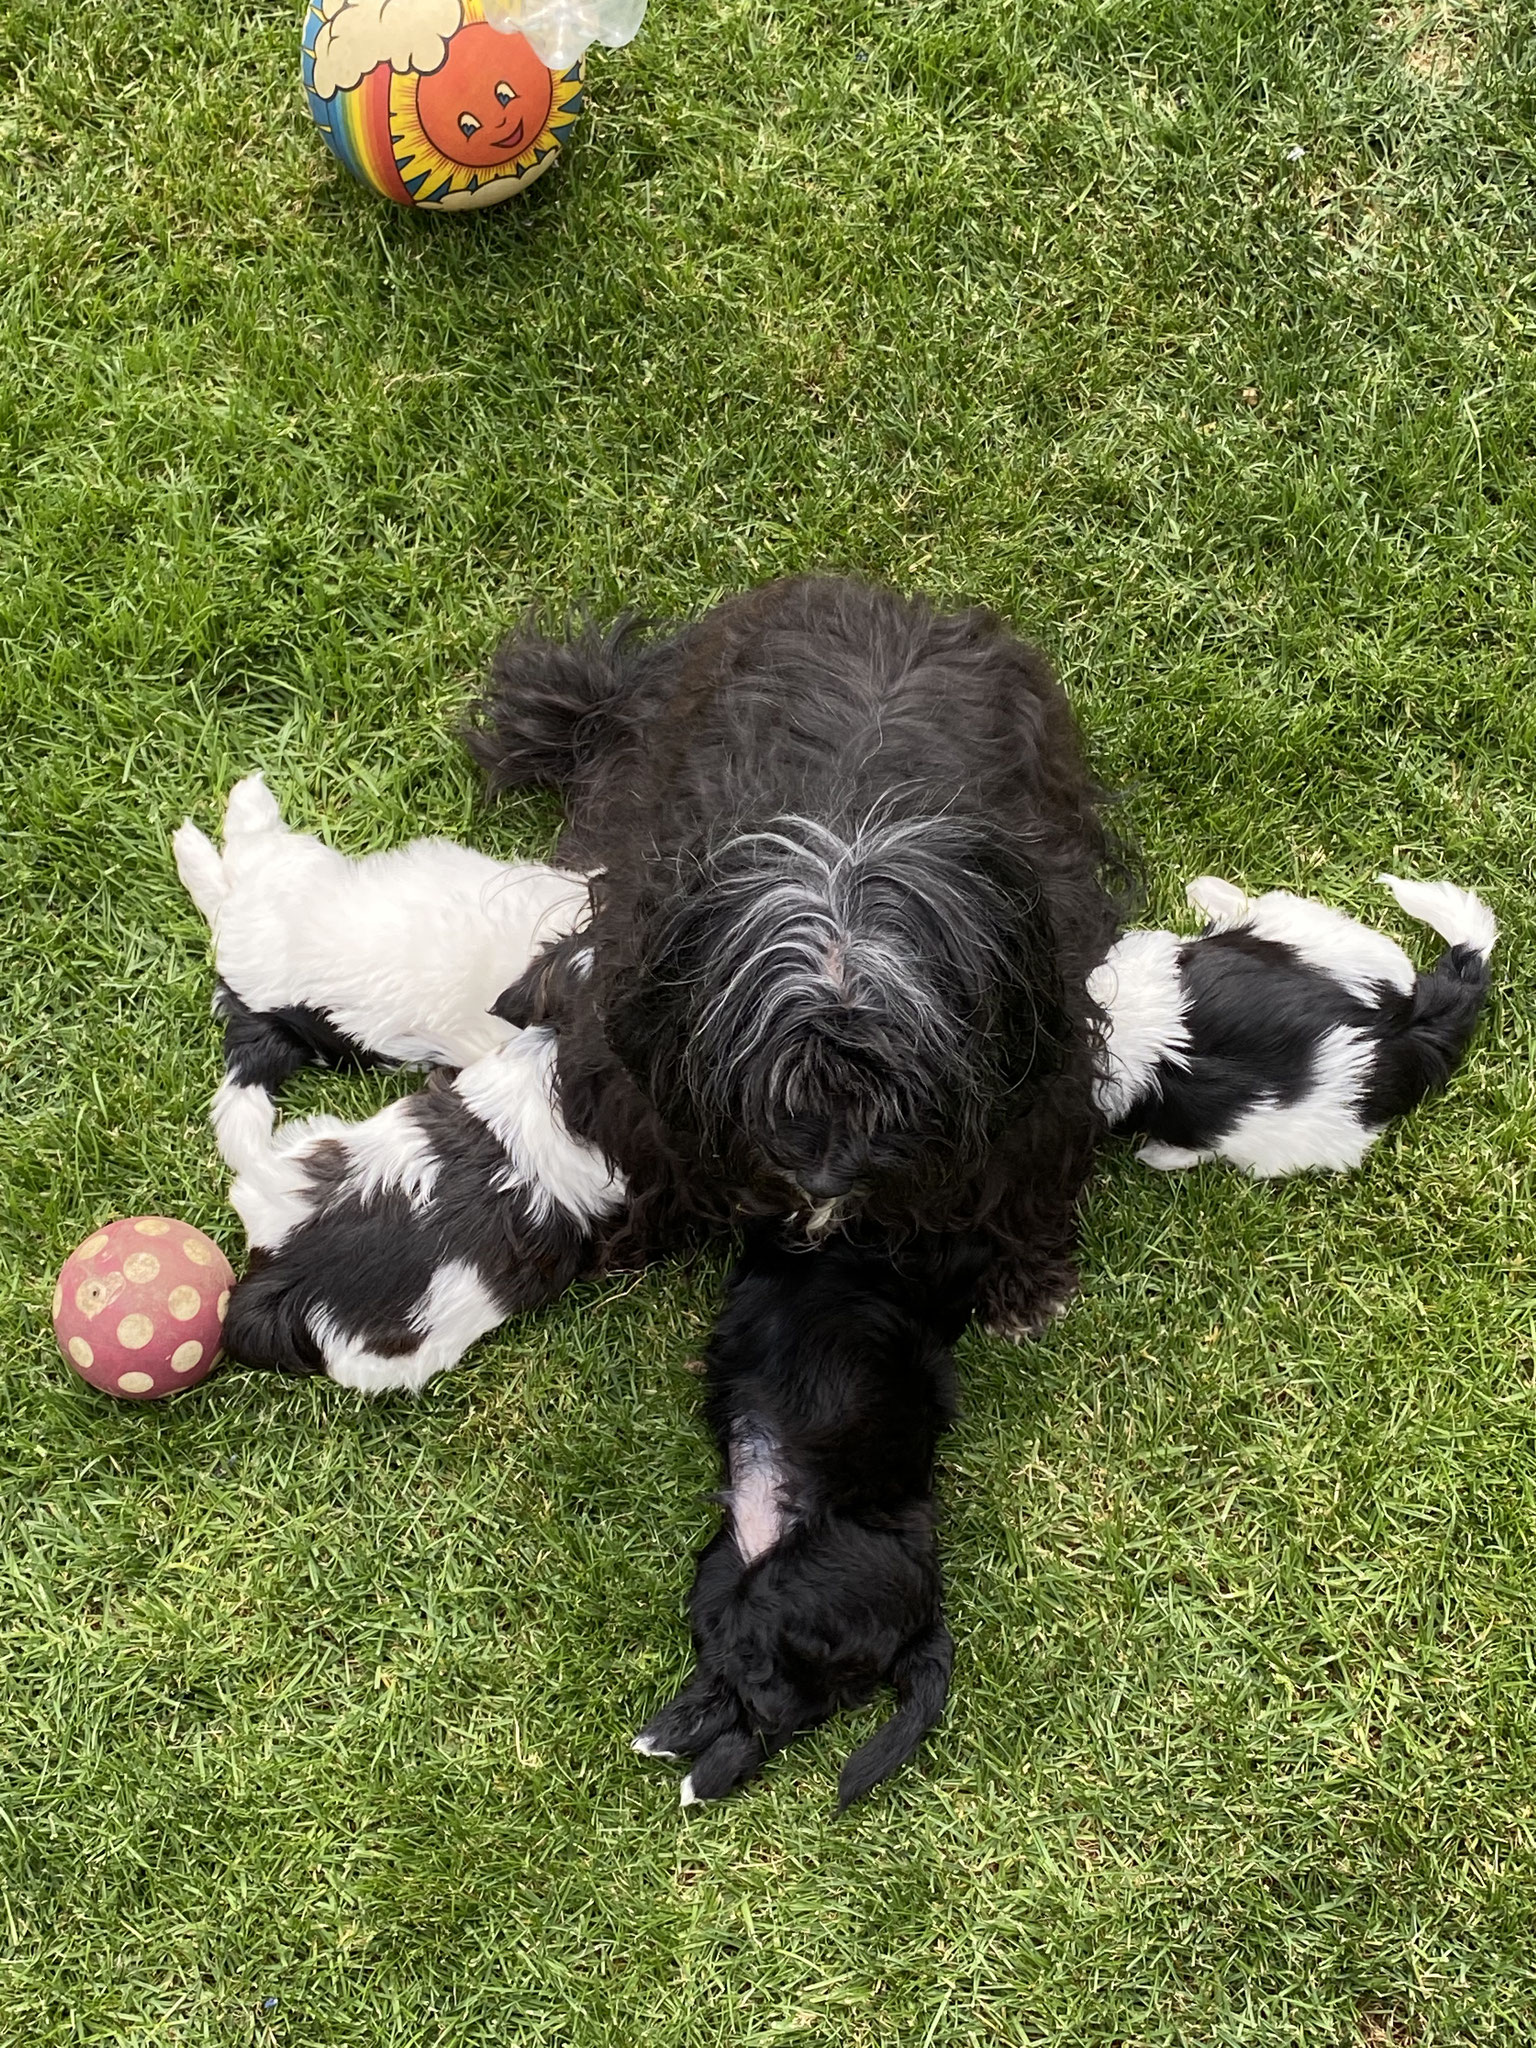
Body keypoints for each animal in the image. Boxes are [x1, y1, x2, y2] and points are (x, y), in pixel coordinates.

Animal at [466, 581, 1122, 1343]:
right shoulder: (630, 1045)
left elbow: (1019, 1180)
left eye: (894, 1080)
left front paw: (1022, 1280)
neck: (844, 845)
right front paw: (633, 1233)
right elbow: (651, 1154)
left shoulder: (1043, 1062)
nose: (826, 1182)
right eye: (778, 1074)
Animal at [634, 1220, 987, 1802]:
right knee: (743, 1687)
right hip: (726, 1578)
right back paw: (684, 1743)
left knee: (771, 1711)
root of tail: (926, 1613)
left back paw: (686, 1759)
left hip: (786, 1600)